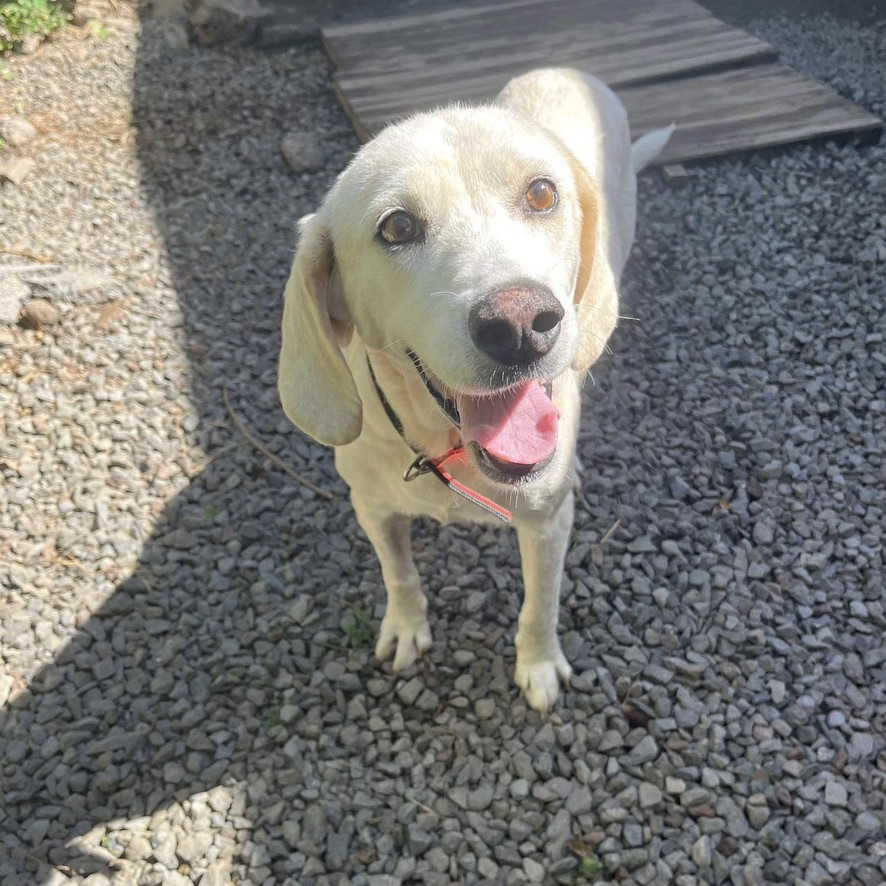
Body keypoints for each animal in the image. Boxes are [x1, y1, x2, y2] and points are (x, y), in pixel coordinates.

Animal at [278, 73, 672, 720]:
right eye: (397, 227)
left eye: (541, 193)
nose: (519, 324)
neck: (446, 447)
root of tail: (566, 69)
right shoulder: (371, 506)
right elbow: (398, 574)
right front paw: (405, 627)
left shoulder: (546, 525)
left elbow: (540, 606)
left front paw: (537, 667)